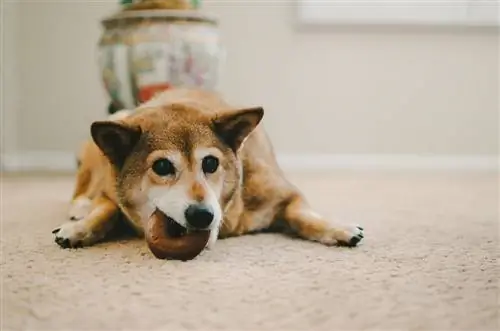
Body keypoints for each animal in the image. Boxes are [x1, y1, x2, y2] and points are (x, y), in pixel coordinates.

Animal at [51, 89, 364, 258]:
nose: (202, 215)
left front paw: (339, 228)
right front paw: (79, 229)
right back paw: (79, 207)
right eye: (162, 167)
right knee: (83, 187)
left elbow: (303, 215)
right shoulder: (109, 193)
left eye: (211, 163)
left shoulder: (283, 193)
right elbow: (105, 210)